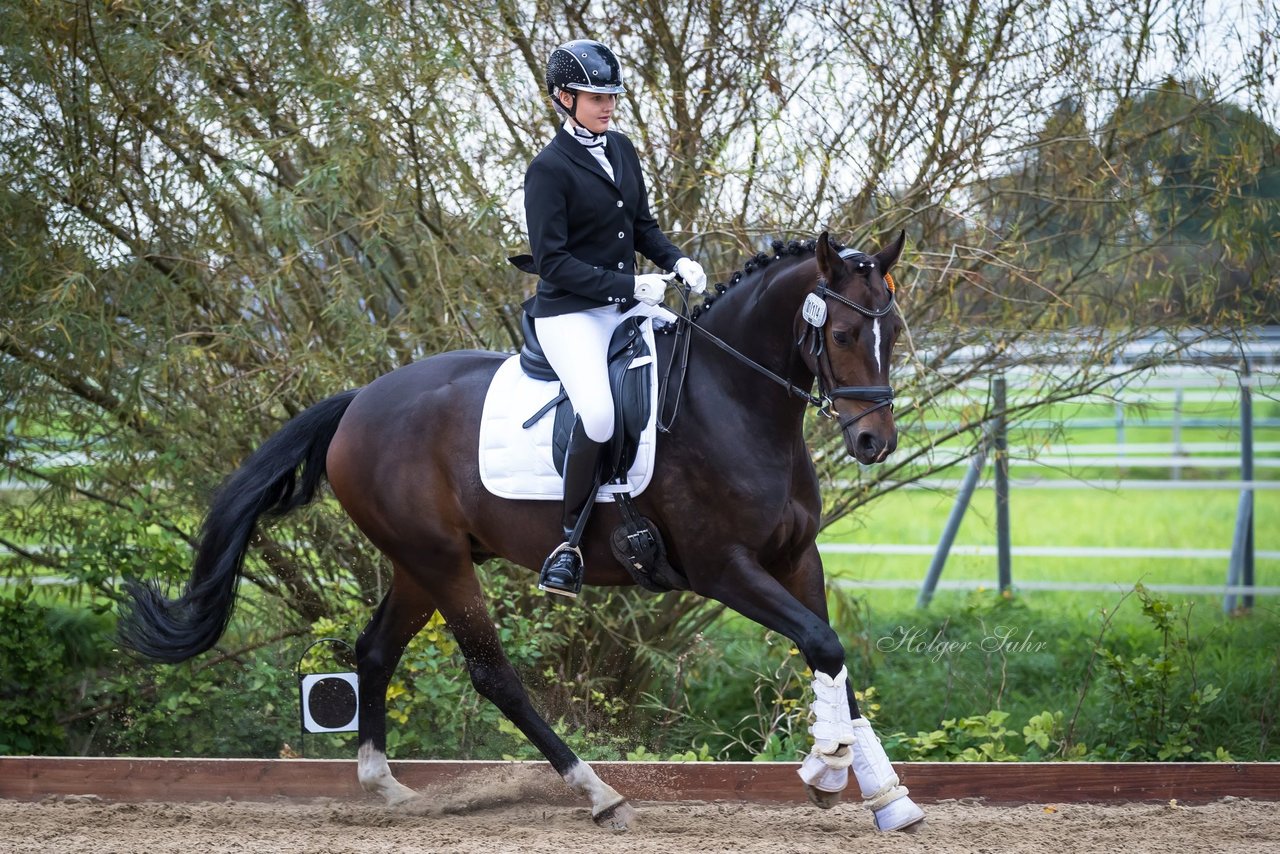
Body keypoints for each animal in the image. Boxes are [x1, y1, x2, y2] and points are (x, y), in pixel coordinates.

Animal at [120, 230, 926, 829]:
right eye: (844, 332)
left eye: (892, 331)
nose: (873, 442)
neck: (734, 401)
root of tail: (359, 403)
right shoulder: (722, 567)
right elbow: (823, 646)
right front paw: (825, 770)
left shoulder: (795, 559)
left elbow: (833, 658)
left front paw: (884, 797)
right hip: (441, 562)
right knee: (493, 674)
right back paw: (597, 792)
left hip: (421, 562)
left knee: (375, 650)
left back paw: (387, 786)